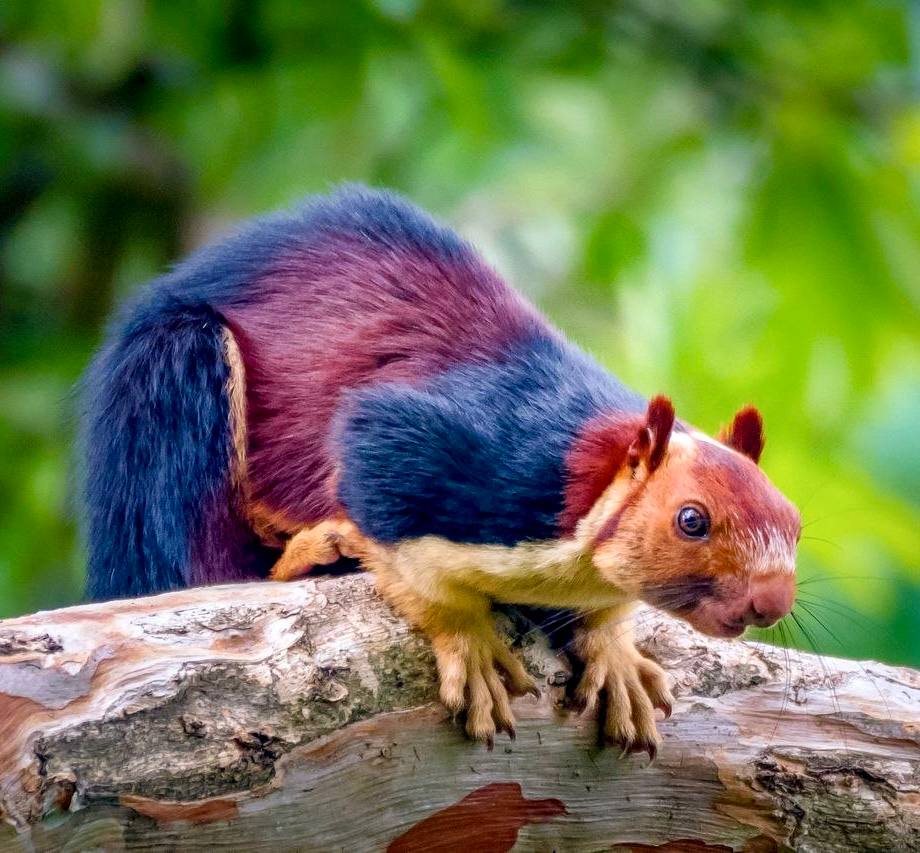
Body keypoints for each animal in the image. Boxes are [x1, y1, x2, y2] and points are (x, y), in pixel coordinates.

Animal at [81, 185, 800, 757]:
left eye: (794, 521)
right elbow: (402, 538)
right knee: (194, 567)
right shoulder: (440, 450)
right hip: (173, 387)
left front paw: (615, 650)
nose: (772, 600)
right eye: (691, 519)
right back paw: (314, 553)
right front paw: (468, 640)